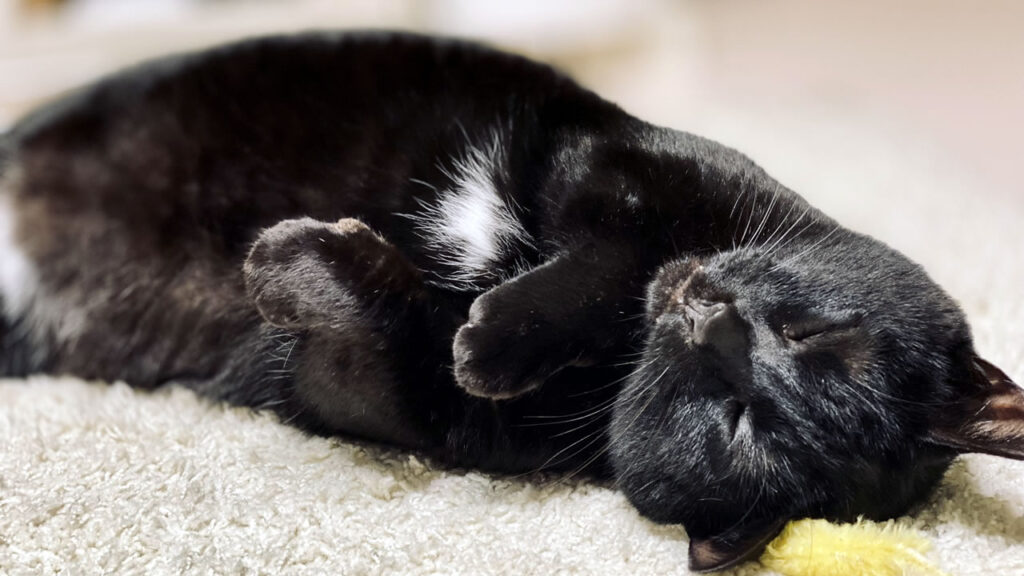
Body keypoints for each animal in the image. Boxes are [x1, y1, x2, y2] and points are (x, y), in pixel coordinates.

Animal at [2, 30, 1024, 569]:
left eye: (733, 423)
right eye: (812, 333)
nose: (711, 320)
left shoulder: (392, 404)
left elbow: (377, 333)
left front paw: (287, 260)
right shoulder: (614, 165)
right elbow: (606, 258)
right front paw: (495, 331)